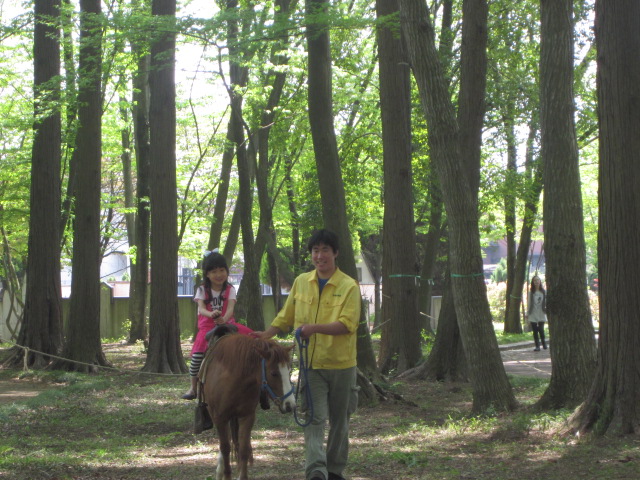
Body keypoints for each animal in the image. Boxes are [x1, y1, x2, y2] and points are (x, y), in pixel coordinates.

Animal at [201, 334, 296, 480]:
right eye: (274, 373)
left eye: (289, 371)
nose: (290, 404)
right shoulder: (220, 418)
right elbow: (225, 448)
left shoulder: (247, 416)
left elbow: (244, 448)